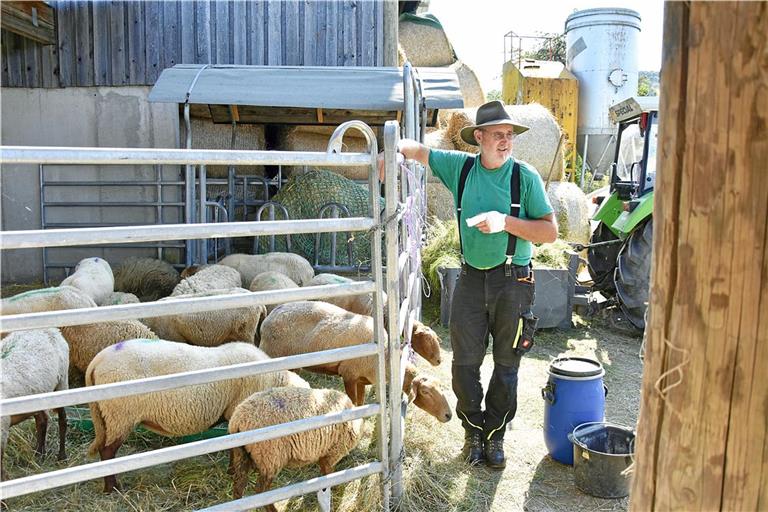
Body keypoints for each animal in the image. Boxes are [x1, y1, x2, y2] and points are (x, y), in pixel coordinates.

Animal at [86, 336, 308, 492]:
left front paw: (231, 470)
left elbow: (231, 442)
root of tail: (97, 360)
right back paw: (112, 488)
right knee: (107, 451)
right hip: (120, 414)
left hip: (106, 414)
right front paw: (236, 470)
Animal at [228, 386, 364, 506]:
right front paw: (331, 487)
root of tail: (238, 419)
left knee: (238, 486)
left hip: (242, 454)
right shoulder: (332, 453)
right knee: (261, 491)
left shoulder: (324, 453)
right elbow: (329, 474)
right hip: (270, 458)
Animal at [260, 302, 452, 422]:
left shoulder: (361, 380)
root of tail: (271, 314)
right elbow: (353, 404)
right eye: (426, 392)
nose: (449, 415)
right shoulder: (349, 376)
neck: (384, 356)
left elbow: (360, 404)